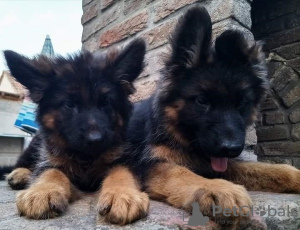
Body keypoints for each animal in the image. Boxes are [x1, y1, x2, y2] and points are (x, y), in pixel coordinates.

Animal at [4, 38, 149, 224]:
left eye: (106, 102)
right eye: (70, 104)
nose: (95, 139)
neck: (86, 157)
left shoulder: (125, 158)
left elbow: (121, 171)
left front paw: (123, 195)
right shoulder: (52, 158)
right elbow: (50, 171)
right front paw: (42, 192)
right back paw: (20, 174)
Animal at [99, 6, 298, 228]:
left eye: (241, 103)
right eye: (202, 101)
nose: (232, 148)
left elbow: (266, 168)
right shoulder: (150, 164)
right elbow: (180, 173)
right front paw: (218, 189)